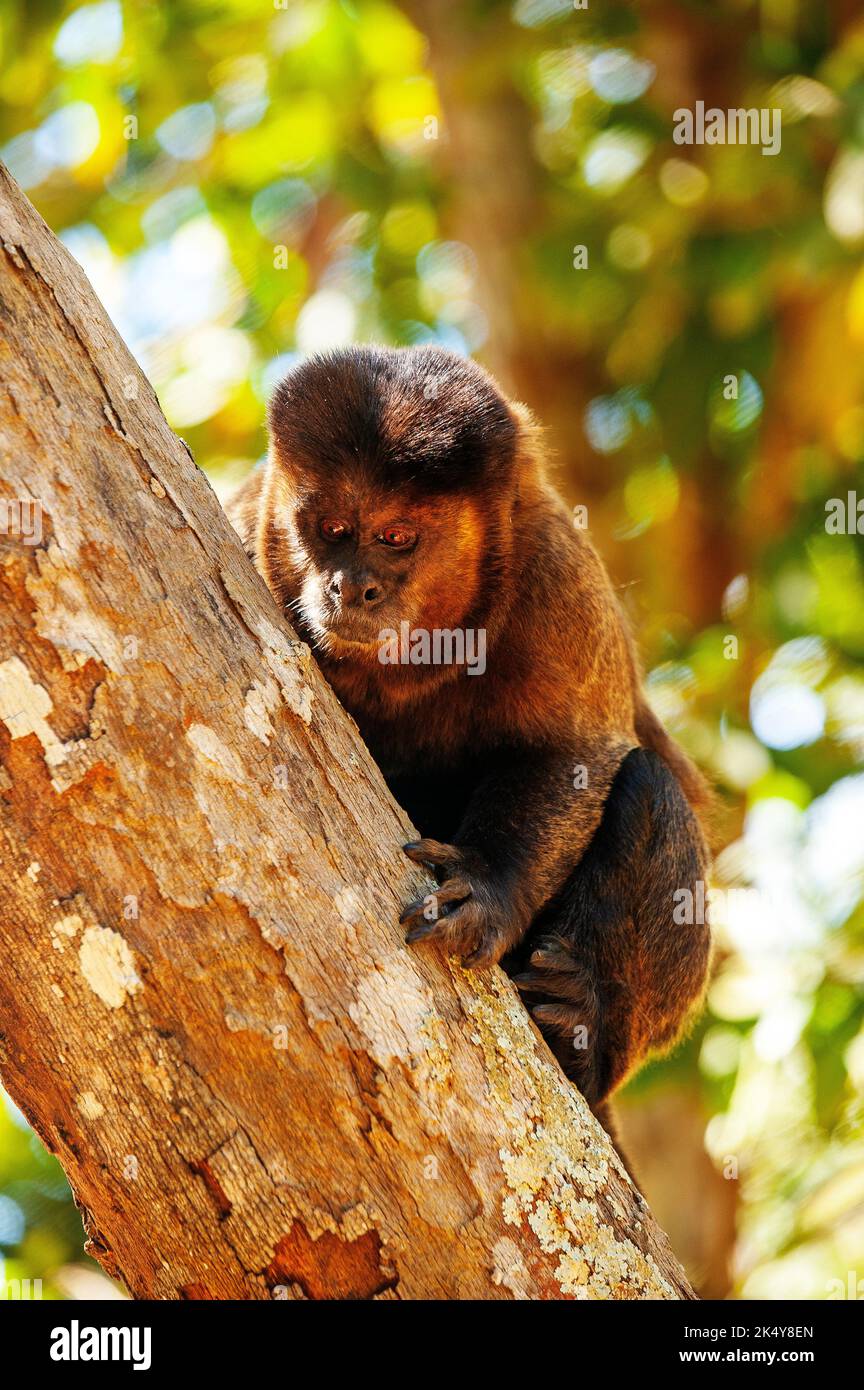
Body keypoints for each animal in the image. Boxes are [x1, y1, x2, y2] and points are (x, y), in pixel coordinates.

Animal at [226, 341, 716, 1134]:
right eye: (330, 528)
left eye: (395, 537)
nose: (350, 586)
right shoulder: (250, 530)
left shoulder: (552, 571)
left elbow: (574, 753)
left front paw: (487, 886)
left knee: (650, 785)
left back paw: (583, 1032)